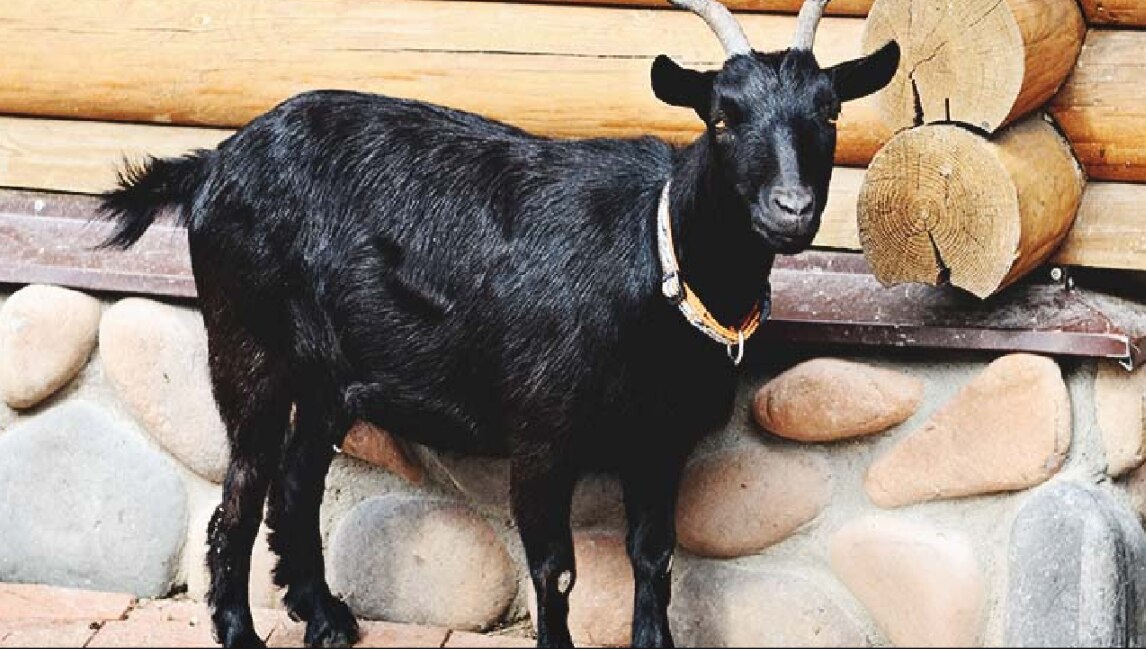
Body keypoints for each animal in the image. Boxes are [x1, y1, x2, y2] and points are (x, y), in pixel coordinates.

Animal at [99, 1, 898, 646]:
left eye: (830, 112)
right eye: (724, 116)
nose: (792, 209)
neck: (654, 254)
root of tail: (212, 163)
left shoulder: (659, 440)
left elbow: (655, 556)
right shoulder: (542, 434)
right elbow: (556, 571)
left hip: (331, 379)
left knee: (294, 486)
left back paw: (325, 618)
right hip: (247, 343)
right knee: (239, 494)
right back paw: (240, 630)